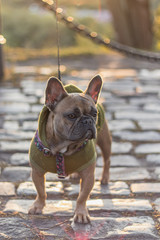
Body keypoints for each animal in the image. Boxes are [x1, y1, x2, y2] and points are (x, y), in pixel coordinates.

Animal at [28, 75, 111, 223]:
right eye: (71, 116)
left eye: (94, 114)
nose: (88, 120)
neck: (63, 148)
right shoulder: (37, 172)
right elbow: (41, 191)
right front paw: (38, 206)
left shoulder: (89, 175)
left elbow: (82, 197)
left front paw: (81, 213)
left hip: (105, 141)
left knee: (107, 160)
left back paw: (105, 178)